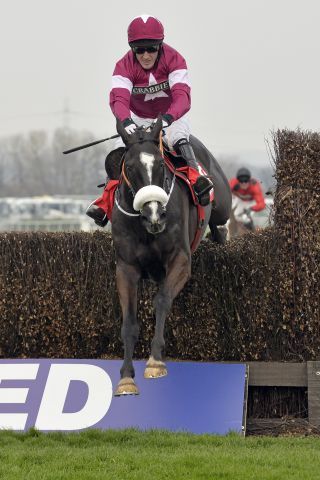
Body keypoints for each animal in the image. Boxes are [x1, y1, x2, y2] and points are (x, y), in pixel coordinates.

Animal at [110, 116, 230, 394]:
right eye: (129, 166)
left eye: (161, 165)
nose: (155, 214)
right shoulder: (126, 268)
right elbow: (129, 323)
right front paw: (126, 377)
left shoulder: (180, 261)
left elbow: (162, 300)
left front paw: (155, 360)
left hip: (223, 205)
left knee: (220, 224)